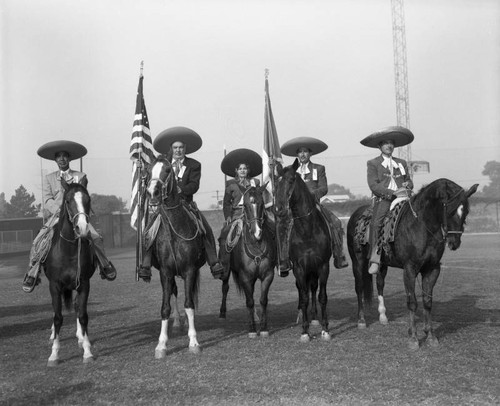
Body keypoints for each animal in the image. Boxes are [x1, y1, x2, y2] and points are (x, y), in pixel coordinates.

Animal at [44, 182, 95, 366]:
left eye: (88, 199)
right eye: (67, 200)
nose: (82, 228)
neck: (68, 251)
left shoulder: (84, 284)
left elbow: (83, 315)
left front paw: (87, 351)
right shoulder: (54, 286)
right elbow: (58, 317)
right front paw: (54, 355)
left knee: (76, 306)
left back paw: (80, 337)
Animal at [145, 155, 207, 358]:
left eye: (167, 171)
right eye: (148, 171)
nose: (153, 193)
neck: (174, 230)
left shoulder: (190, 270)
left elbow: (190, 304)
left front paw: (194, 342)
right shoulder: (165, 272)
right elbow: (165, 306)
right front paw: (161, 345)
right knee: (174, 292)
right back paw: (178, 322)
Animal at [219, 186, 278, 338]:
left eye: (262, 204)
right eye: (245, 205)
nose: (257, 232)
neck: (256, 245)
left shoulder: (268, 275)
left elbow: (263, 300)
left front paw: (263, 328)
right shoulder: (245, 277)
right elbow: (250, 301)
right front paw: (252, 329)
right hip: (226, 270)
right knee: (225, 287)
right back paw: (222, 313)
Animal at [274, 162, 332, 342]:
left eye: (291, 180)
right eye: (276, 183)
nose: (278, 209)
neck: (307, 231)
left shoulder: (323, 266)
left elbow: (322, 296)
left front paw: (325, 329)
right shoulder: (299, 268)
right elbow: (304, 297)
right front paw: (305, 331)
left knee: (313, 288)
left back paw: (314, 318)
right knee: (303, 290)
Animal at [346, 178, 478, 348]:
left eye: (466, 212)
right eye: (449, 211)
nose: (454, 242)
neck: (421, 226)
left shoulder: (432, 269)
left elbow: (427, 301)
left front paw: (430, 335)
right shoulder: (409, 269)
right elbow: (412, 302)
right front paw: (414, 338)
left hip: (382, 264)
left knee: (380, 284)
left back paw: (383, 316)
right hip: (358, 261)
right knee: (359, 287)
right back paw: (361, 320)